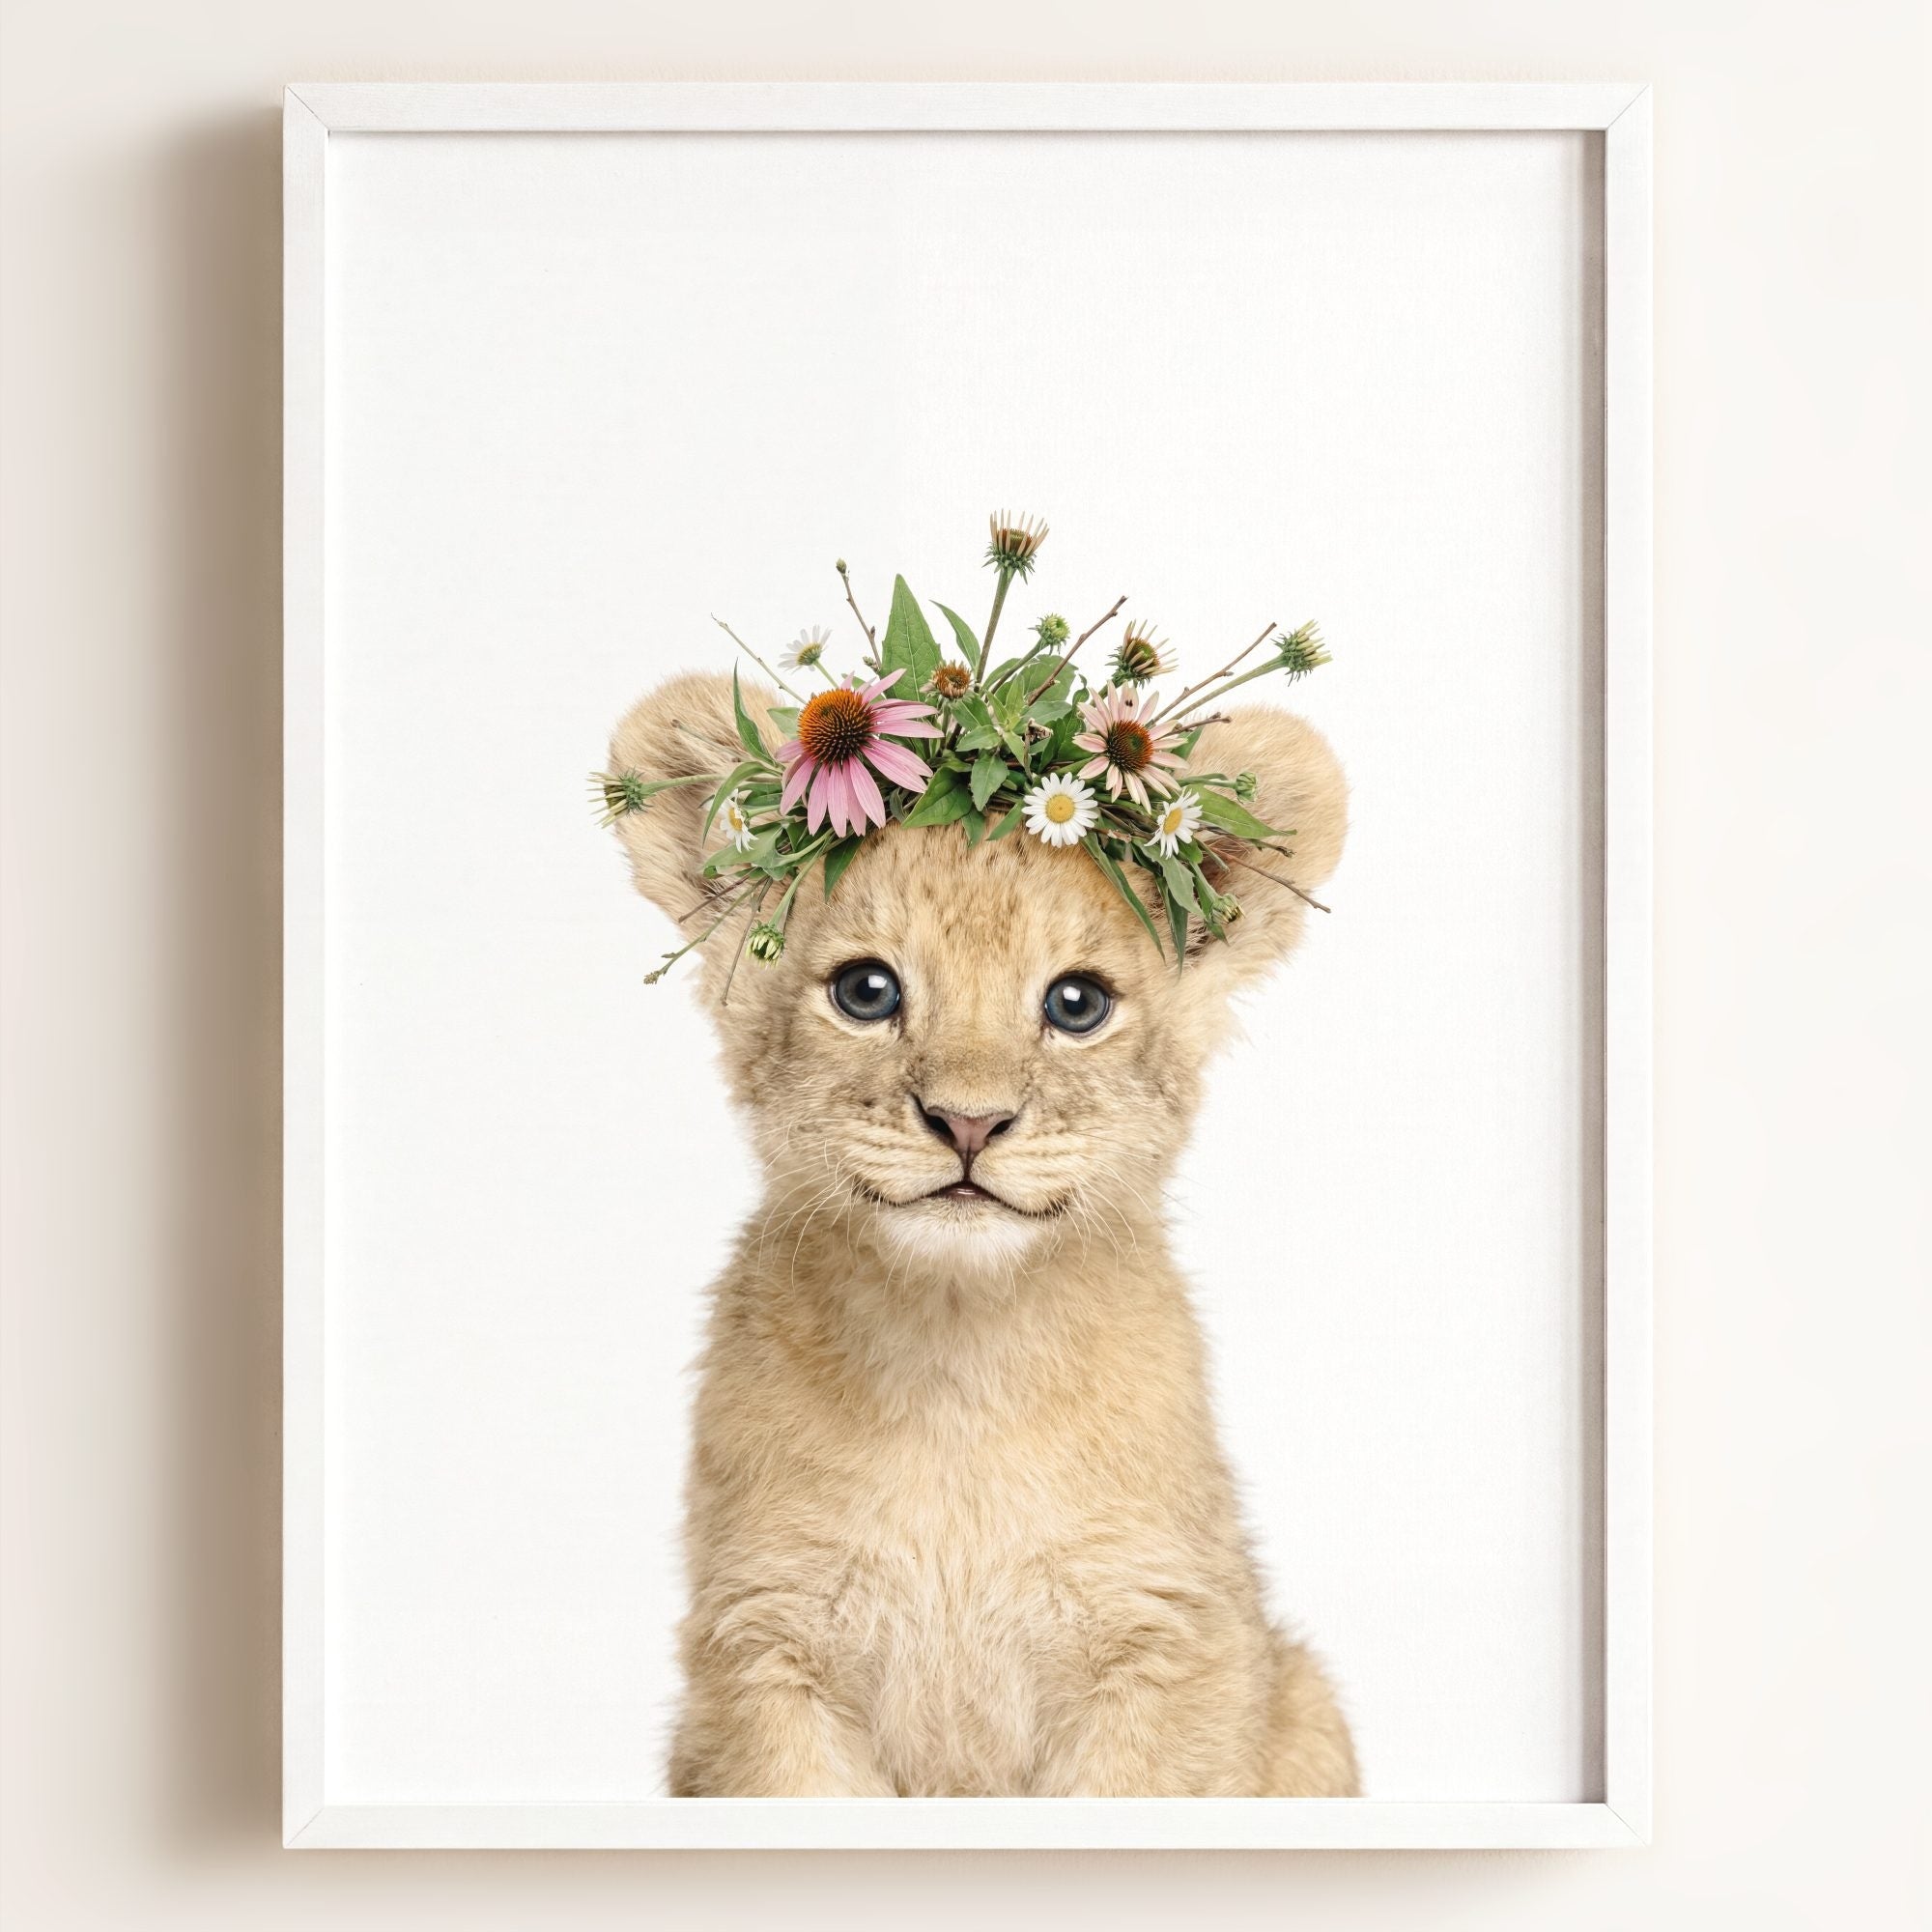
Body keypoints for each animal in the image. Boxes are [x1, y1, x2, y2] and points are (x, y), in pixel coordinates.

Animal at [605, 669, 1358, 1798]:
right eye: (866, 990)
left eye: (1077, 1003)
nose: (967, 1122)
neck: (957, 1366)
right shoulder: (764, 1650)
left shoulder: (1169, 1642)